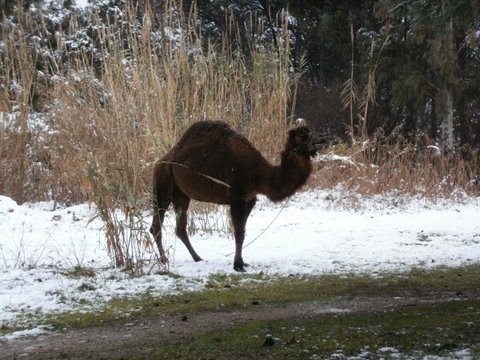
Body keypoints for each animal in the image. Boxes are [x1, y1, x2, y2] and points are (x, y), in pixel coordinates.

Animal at [148, 119, 316, 272]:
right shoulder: (237, 197)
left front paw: (242, 262)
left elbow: (242, 232)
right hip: (162, 184)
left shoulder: (250, 199)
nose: (315, 147)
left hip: (181, 194)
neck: (259, 174)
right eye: (302, 136)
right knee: (156, 225)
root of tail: (160, 161)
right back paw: (164, 260)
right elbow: (239, 233)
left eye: (310, 133)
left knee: (180, 228)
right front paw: (238, 265)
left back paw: (198, 258)